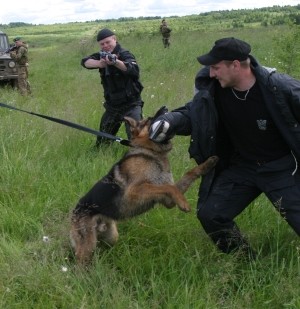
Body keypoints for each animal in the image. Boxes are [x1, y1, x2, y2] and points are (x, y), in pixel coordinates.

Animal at [70, 109, 218, 264]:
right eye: (149, 120)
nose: (165, 108)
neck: (149, 152)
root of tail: (74, 212)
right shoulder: (133, 192)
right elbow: (168, 188)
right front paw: (184, 204)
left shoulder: (168, 201)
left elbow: (186, 177)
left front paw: (208, 163)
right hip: (88, 246)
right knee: (80, 261)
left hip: (111, 237)